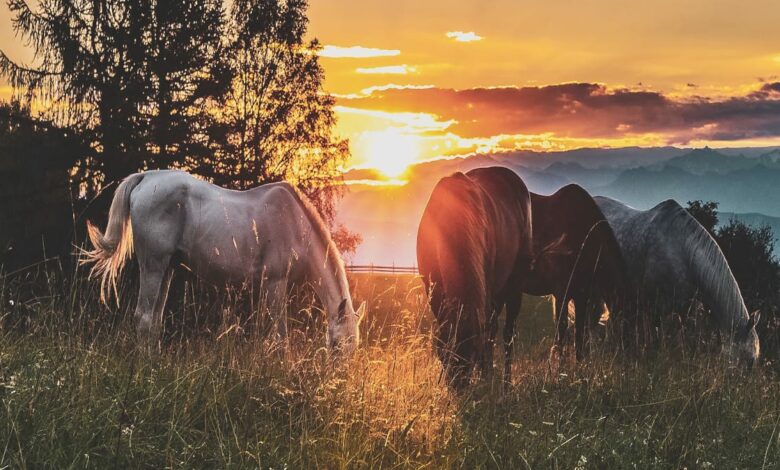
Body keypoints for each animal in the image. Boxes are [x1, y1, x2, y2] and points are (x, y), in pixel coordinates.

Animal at [84, 170, 364, 352]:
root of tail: (146, 178)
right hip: (153, 265)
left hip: (167, 268)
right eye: (337, 346)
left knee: (154, 320)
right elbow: (280, 336)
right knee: (143, 318)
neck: (296, 224)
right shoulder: (275, 283)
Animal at [418, 167, 532, 388]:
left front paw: (486, 375)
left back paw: (504, 382)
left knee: (506, 334)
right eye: (444, 355)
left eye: (471, 355)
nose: (459, 387)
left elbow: (488, 336)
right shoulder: (433, 289)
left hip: (514, 286)